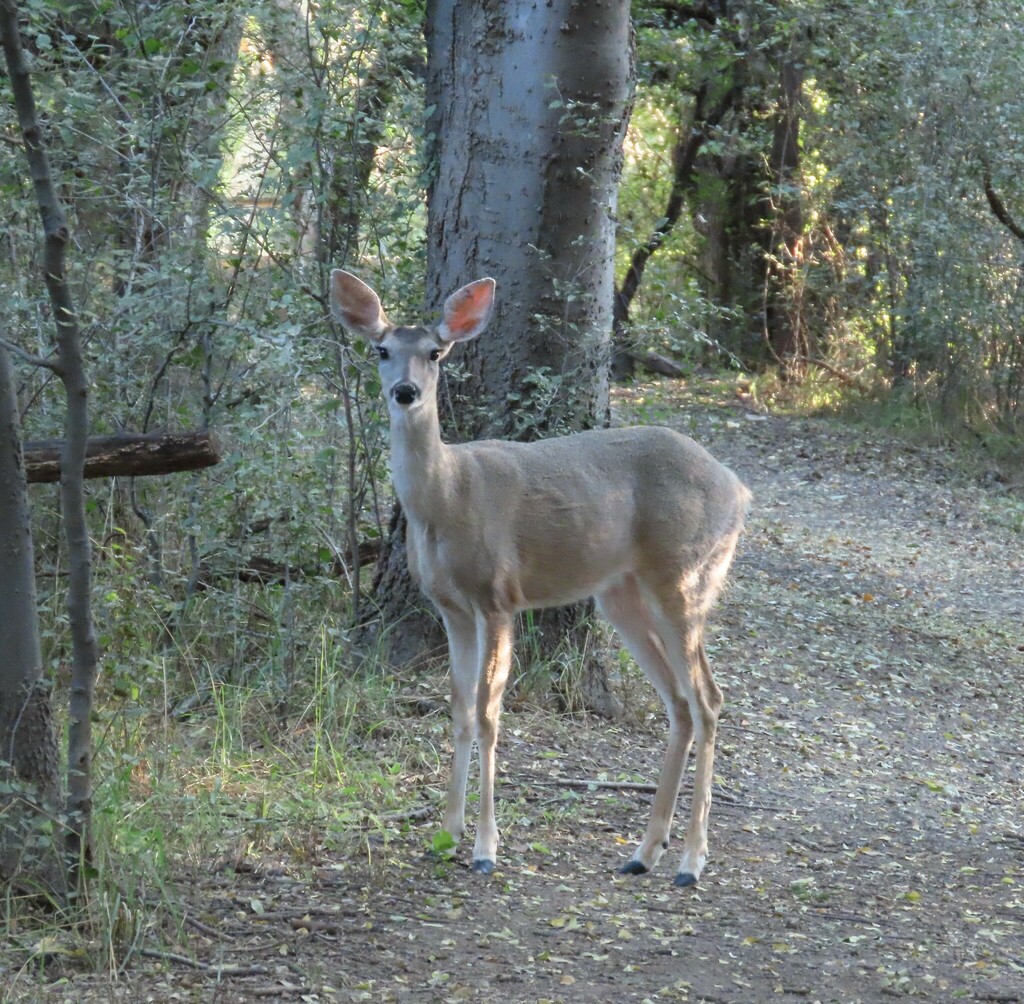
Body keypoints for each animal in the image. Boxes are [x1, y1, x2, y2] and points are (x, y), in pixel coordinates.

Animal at [330, 269, 751, 887]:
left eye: (435, 352)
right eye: (381, 350)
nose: (405, 392)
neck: (446, 498)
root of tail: (739, 489)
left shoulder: (499, 597)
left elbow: (488, 712)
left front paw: (485, 847)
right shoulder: (450, 606)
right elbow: (458, 707)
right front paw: (444, 834)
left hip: (686, 574)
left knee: (709, 699)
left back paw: (691, 862)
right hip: (620, 594)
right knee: (677, 700)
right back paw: (644, 852)